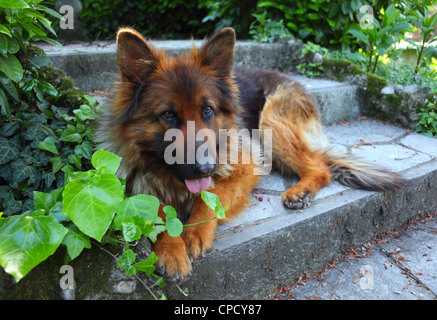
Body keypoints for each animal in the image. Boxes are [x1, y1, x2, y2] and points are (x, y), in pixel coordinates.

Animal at [95, 28, 406, 282]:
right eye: (168, 115)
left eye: (207, 110)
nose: (206, 169)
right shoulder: (135, 186)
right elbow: (155, 212)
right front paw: (172, 249)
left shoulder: (244, 167)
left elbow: (210, 198)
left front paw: (192, 233)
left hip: (271, 122)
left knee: (321, 166)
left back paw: (300, 191)